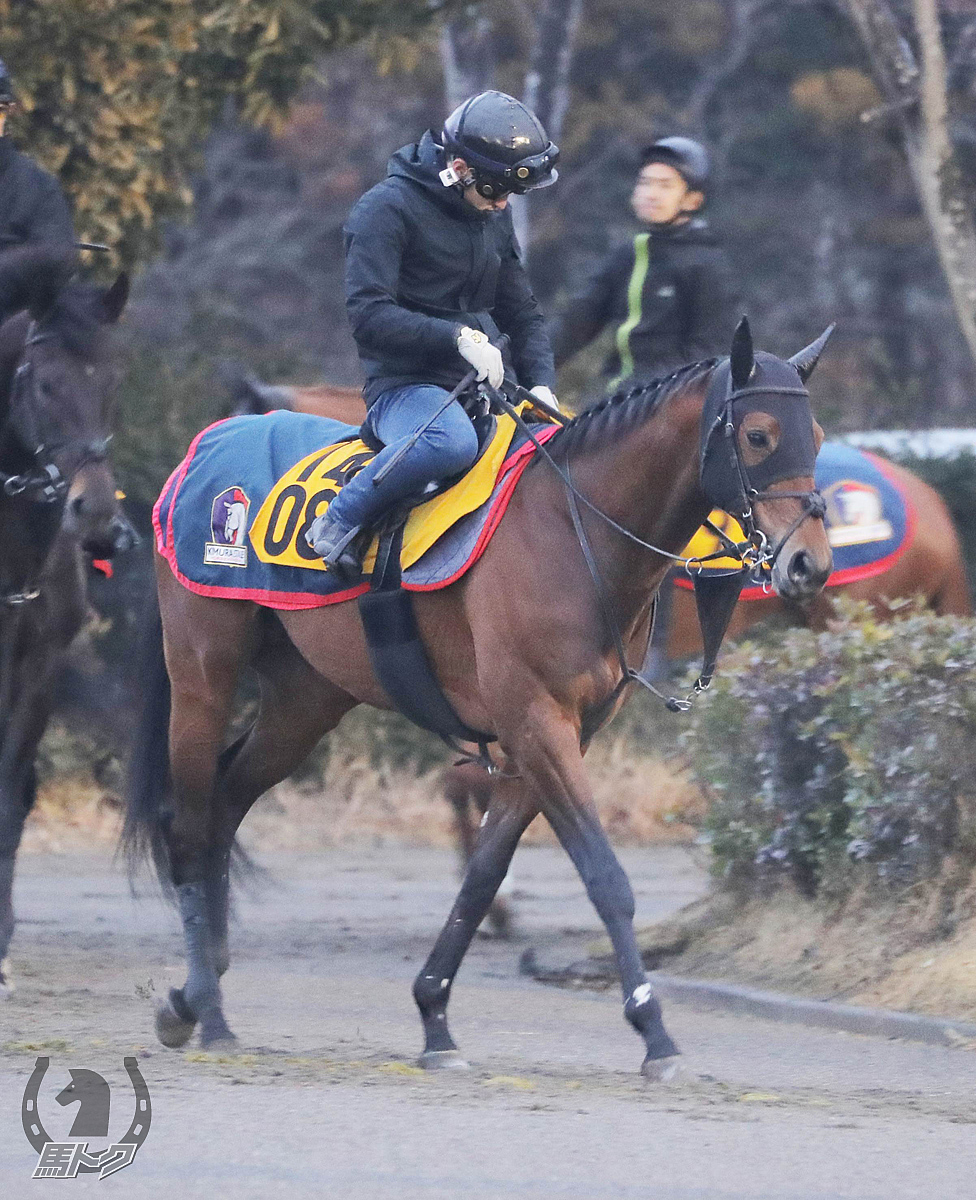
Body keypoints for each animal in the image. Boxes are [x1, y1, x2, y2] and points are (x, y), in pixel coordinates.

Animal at [125, 319, 835, 1080]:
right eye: (759, 435)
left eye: (818, 435)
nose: (810, 564)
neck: (572, 530)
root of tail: (204, 447)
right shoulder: (537, 726)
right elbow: (605, 878)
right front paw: (654, 1030)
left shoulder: (551, 740)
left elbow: (482, 877)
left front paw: (434, 1015)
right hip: (203, 677)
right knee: (189, 826)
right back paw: (201, 1004)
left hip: (304, 701)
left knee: (227, 801)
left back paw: (202, 992)